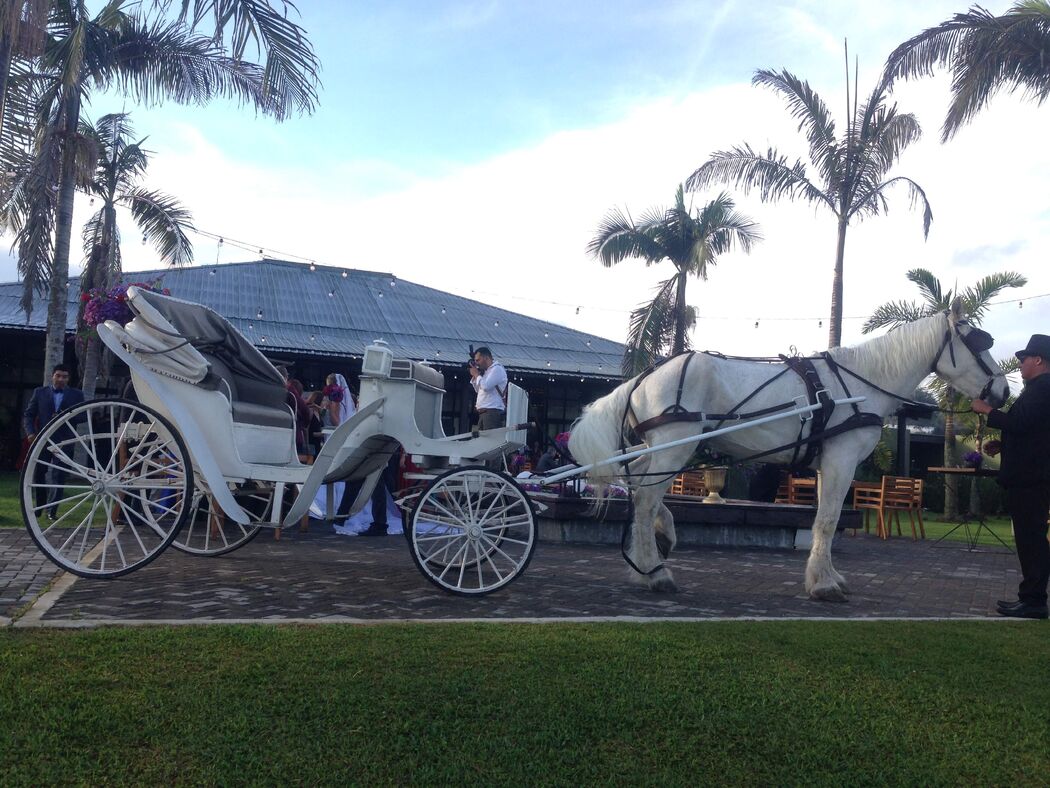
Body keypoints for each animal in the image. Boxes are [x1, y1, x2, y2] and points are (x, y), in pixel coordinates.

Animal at [571, 298, 1012, 600]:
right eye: (979, 341)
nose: (1003, 392)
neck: (860, 383)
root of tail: (646, 375)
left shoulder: (824, 464)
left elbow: (822, 521)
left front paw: (826, 576)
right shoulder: (841, 460)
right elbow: (828, 521)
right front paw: (824, 585)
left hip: (660, 448)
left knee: (638, 494)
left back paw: (655, 547)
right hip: (674, 446)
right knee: (645, 501)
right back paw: (654, 572)